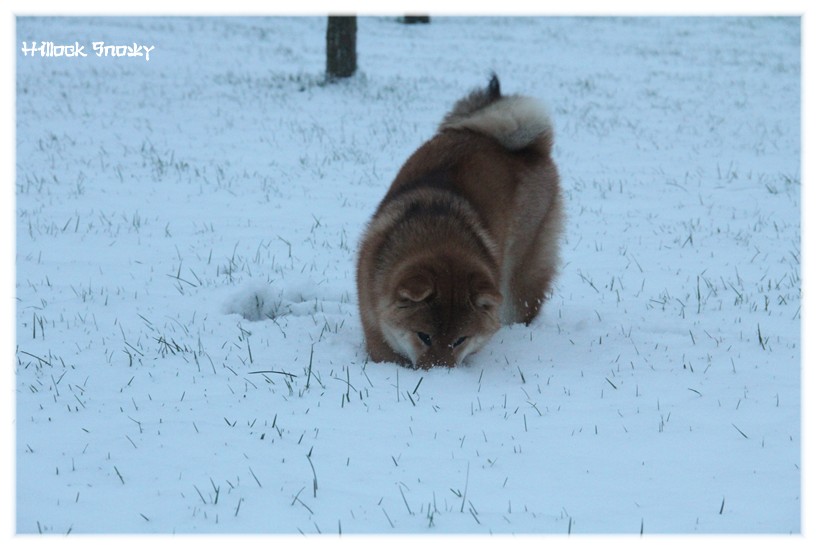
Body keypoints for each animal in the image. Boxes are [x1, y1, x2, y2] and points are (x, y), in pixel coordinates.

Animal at [356, 76, 560, 368]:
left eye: (460, 340)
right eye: (424, 336)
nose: (440, 374)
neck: (437, 233)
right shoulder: (372, 316)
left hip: (521, 273)